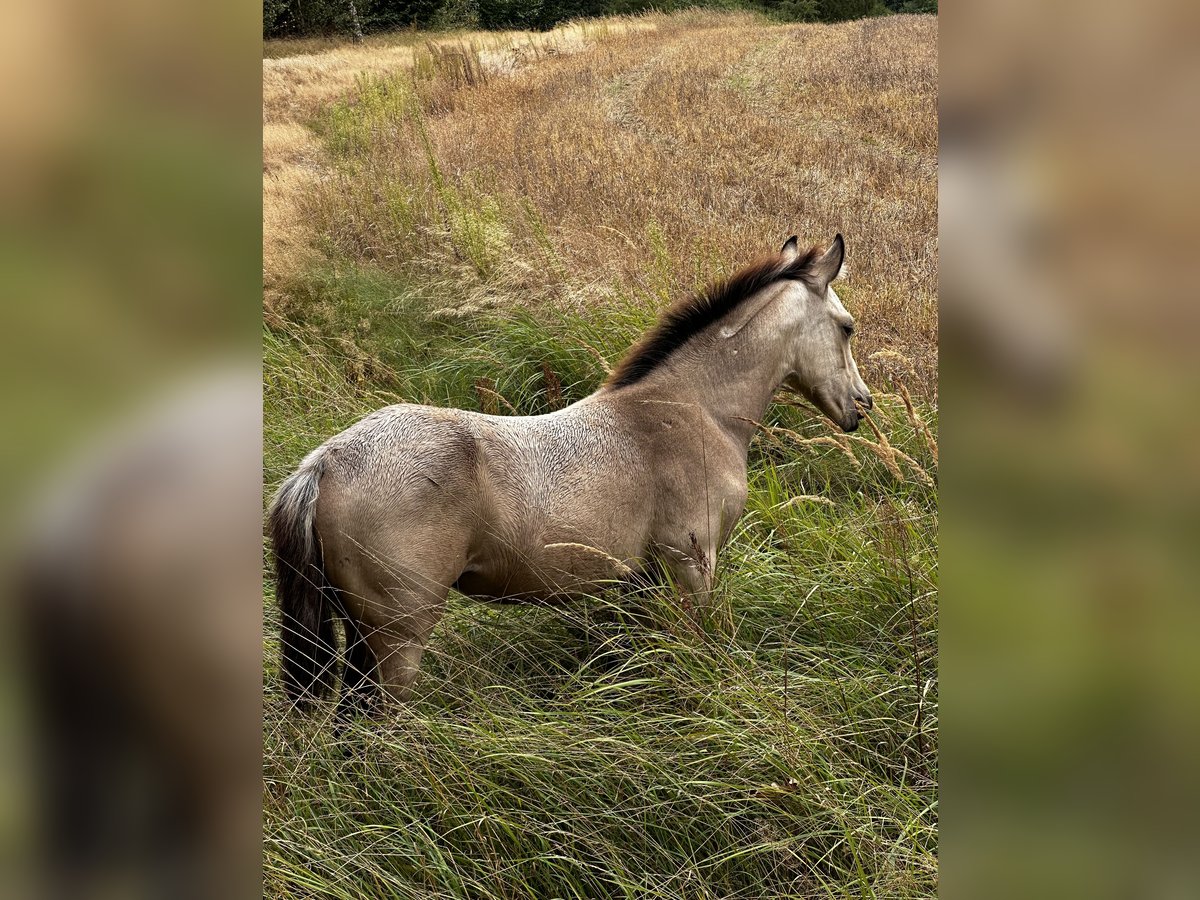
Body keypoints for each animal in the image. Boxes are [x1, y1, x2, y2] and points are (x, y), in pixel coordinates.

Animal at [270, 236, 873, 715]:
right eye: (846, 328)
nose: (862, 407)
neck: (693, 410)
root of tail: (323, 463)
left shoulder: (643, 583)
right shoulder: (692, 568)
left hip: (359, 640)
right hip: (396, 640)